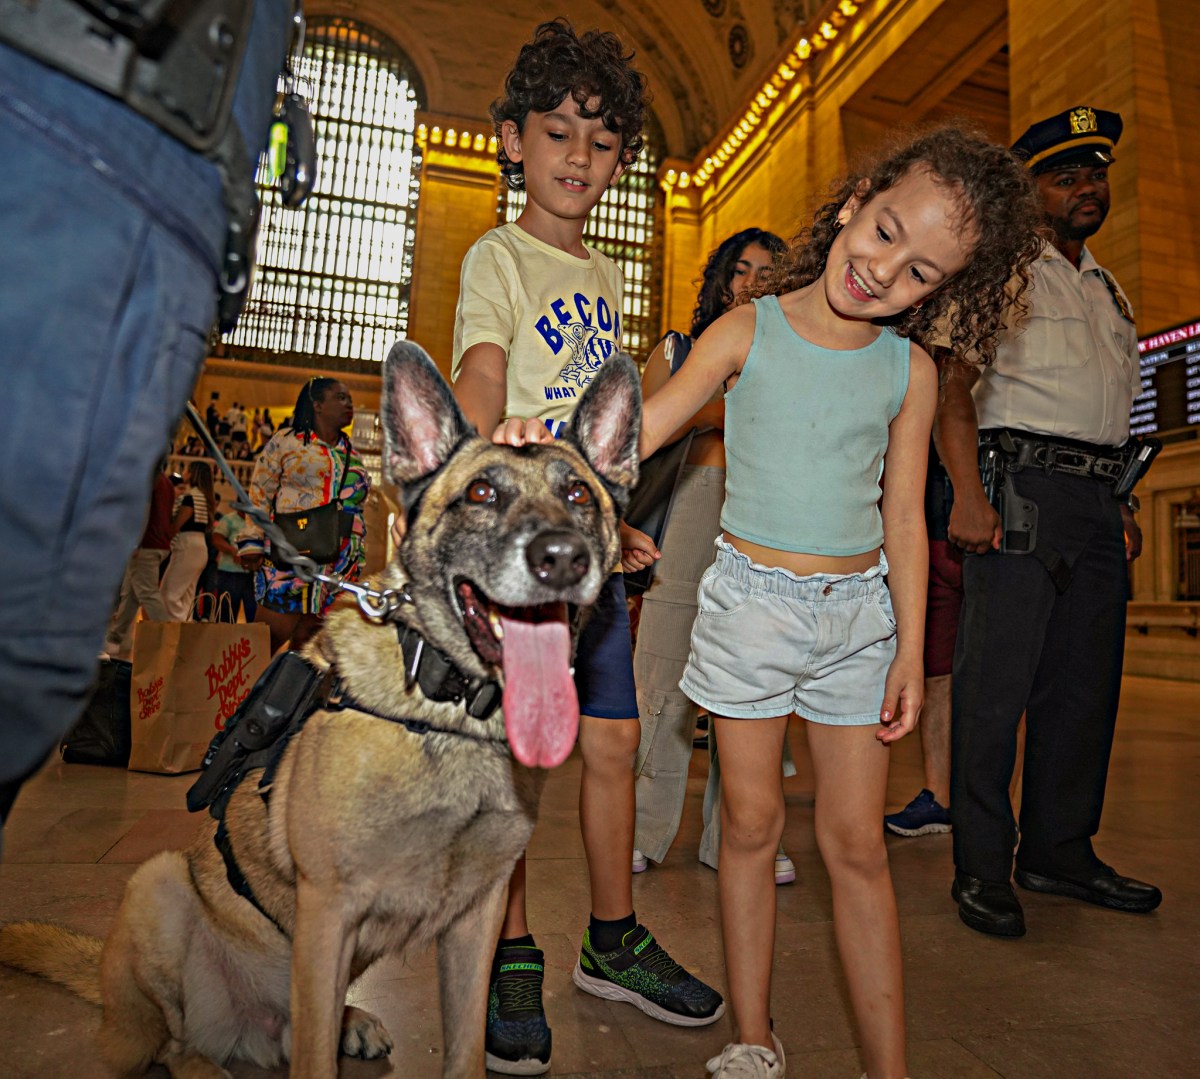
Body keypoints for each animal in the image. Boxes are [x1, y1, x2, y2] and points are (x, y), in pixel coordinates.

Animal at [0, 343, 648, 1079]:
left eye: (578, 495)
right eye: (482, 493)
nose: (562, 557)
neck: (446, 712)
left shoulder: (474, 924)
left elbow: (463, 1051)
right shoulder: (328, 915)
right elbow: (313, 1058)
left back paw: (350, 1022)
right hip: (157, 886)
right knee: (177, 1041)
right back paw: (205, 1062)